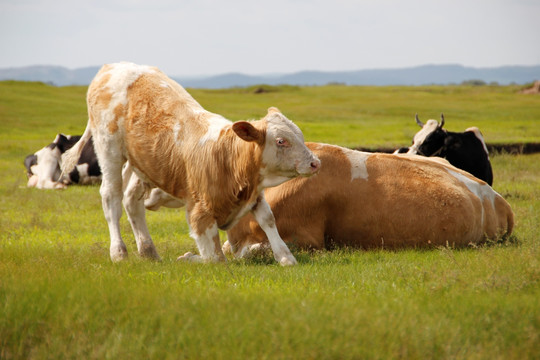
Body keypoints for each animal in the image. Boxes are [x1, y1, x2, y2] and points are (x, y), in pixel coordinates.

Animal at [62, 61, 320, 264]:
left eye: (300, 136)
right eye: (281, 141)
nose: (315, 163)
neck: (226, 156)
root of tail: (113, 66)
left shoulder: (254, 195)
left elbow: (268, 219)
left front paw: (285, 257)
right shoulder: (200, 213)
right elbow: (214, 259)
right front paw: (189, 258)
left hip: (143, 164)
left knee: (132, 200)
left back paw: (148, 251)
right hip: (109, 149)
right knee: (111, 198)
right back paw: (119, 252)